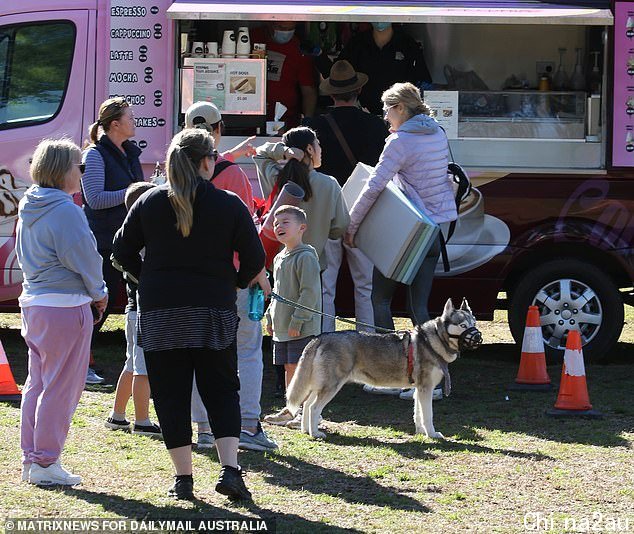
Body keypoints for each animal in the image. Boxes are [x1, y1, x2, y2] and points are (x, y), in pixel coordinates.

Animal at [286, 300, 478, 442]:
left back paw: (305, 430)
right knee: (314, 407)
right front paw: (431, 434)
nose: (478, 337)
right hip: (331, 387)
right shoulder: (426, 388)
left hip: (320, 385)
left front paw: (421, 432)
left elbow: (418, 414)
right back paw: (315, 434)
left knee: (307, 404)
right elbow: (427, 415)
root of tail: (320, 337)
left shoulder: (419, 390)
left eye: (474, 322)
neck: (431, 341)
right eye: (462, 325)